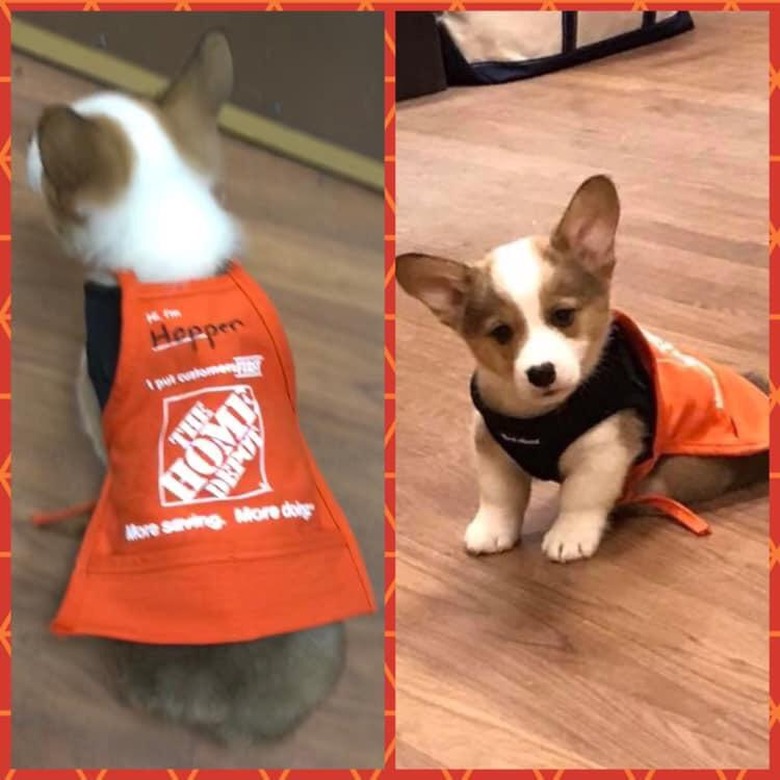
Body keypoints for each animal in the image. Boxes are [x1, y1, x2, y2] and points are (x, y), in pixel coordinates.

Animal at [396, 173, 768, 560]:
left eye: (563, 315)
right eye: (501, 332)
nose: (541, 372)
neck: (538, 418)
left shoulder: (605, 450)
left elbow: (580, 497)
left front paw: (569, 536)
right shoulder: (493, 449)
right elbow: (498, 496)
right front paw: (492, 531)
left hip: (673, 475)